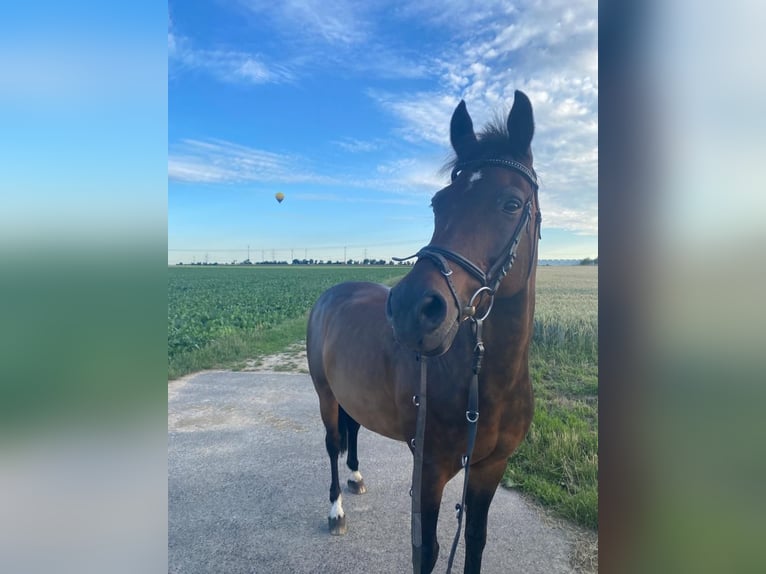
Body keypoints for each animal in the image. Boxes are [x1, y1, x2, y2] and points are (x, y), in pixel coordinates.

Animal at [308, 92, 544, 572]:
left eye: (511, 203)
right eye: (438, 203)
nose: (411, 309)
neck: (483, 381)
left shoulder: (490, 469)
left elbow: (474, 540)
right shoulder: (430, 471)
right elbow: (428, 551)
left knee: (353, 429)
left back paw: (357, 476)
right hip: (324, 394)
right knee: (332, 441)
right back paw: (336, 509)